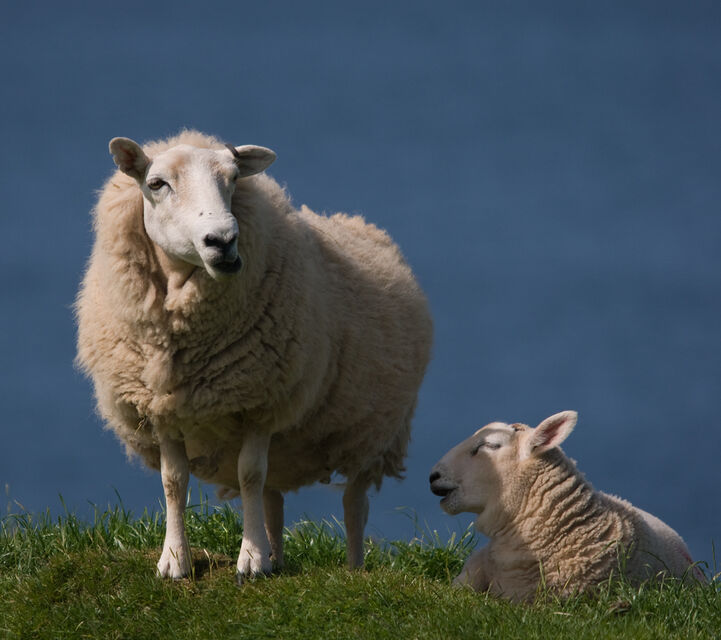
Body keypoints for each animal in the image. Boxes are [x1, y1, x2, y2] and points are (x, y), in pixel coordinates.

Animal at [76, 130, 432, 582]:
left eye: (233, 179)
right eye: (156, 184)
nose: (223, 241)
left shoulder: (262, 402)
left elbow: (249, 475)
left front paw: (251, 560)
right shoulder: (163, 410)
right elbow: (174, 481)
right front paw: (175, 560)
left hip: (369, 431)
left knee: (353, 503)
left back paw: (351, 568)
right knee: (273, 498)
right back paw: (277, 555)